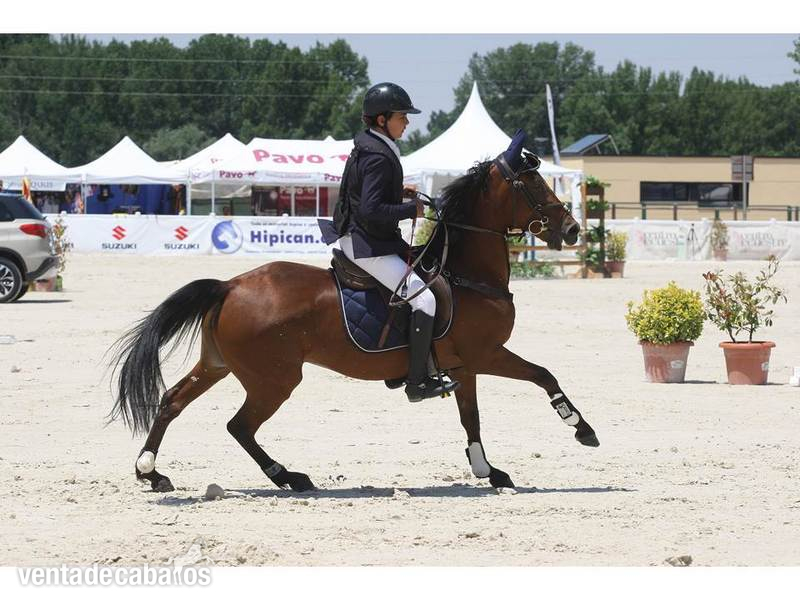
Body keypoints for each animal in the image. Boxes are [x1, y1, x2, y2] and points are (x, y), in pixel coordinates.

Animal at [110, 150, 598, 494]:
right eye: (532, 183)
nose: (573, 230)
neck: (467, 275)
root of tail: (229, 285)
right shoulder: (486, 354)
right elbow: (542, 375)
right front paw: (581, 428)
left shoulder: (464, 366)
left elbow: (471, 418)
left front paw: (488, 470)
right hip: (274, 379)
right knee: (239, 426)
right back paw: (288, 476)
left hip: (219, 365)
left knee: (172, 401)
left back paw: (151, 472)